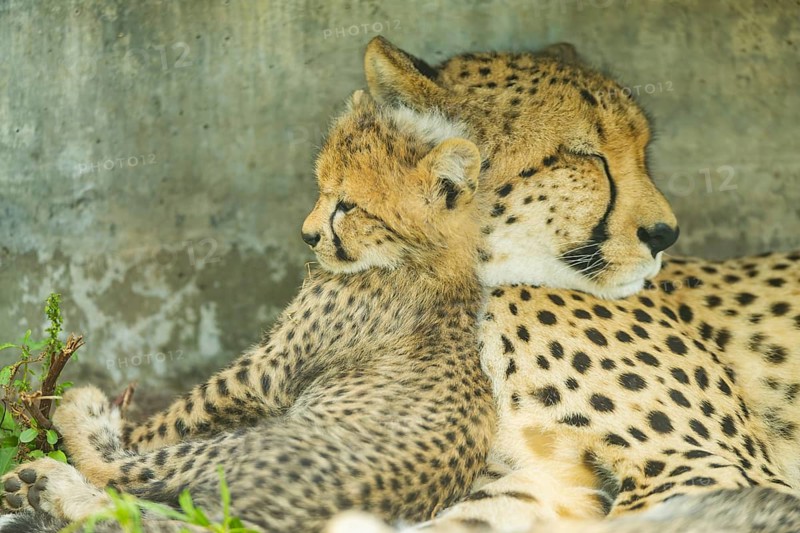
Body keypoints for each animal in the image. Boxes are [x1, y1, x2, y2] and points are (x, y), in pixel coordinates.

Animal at [0, 90, 497, 532]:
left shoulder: (265, 372)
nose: (307, 236)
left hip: (245, 447)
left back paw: (54, 460)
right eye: (321, 190)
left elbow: (174, 418)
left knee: (126, 476)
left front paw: (120, 426)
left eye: (348, 205)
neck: (426, 256)